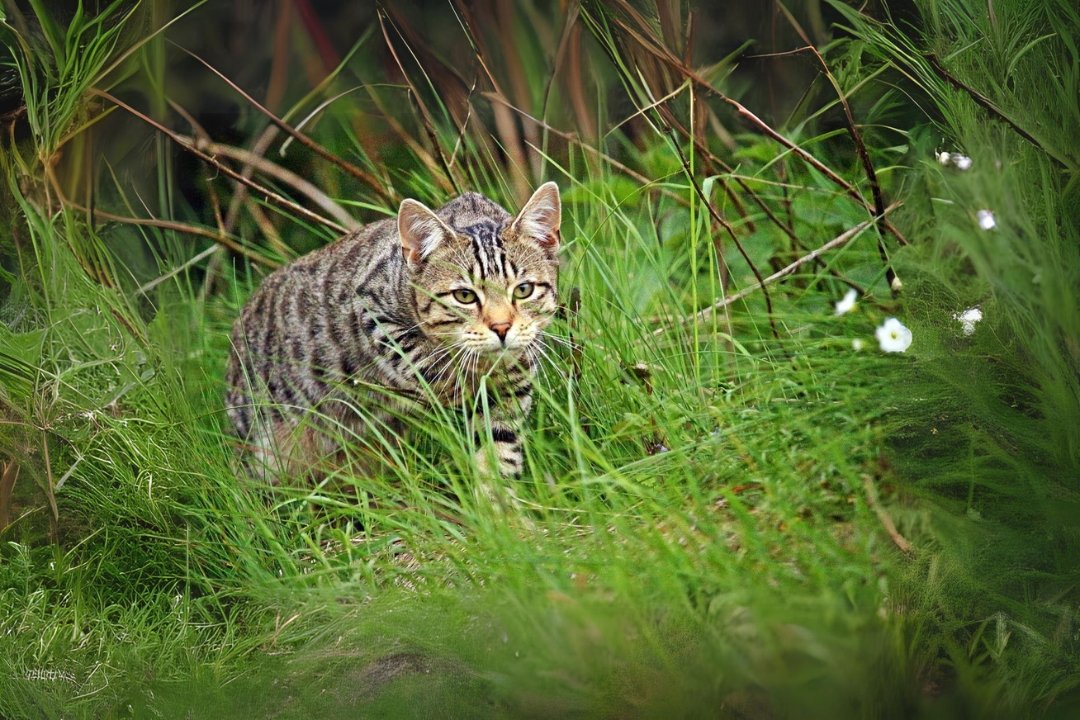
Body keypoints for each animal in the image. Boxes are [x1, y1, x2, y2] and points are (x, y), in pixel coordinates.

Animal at [223, 183, 561, 481]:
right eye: (464, 296)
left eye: (524, 290)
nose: (502, 327)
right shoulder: (371, 309)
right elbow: (423, 359)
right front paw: (461, 381)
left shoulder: (505, 409)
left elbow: (498, 453)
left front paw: (499, 506)